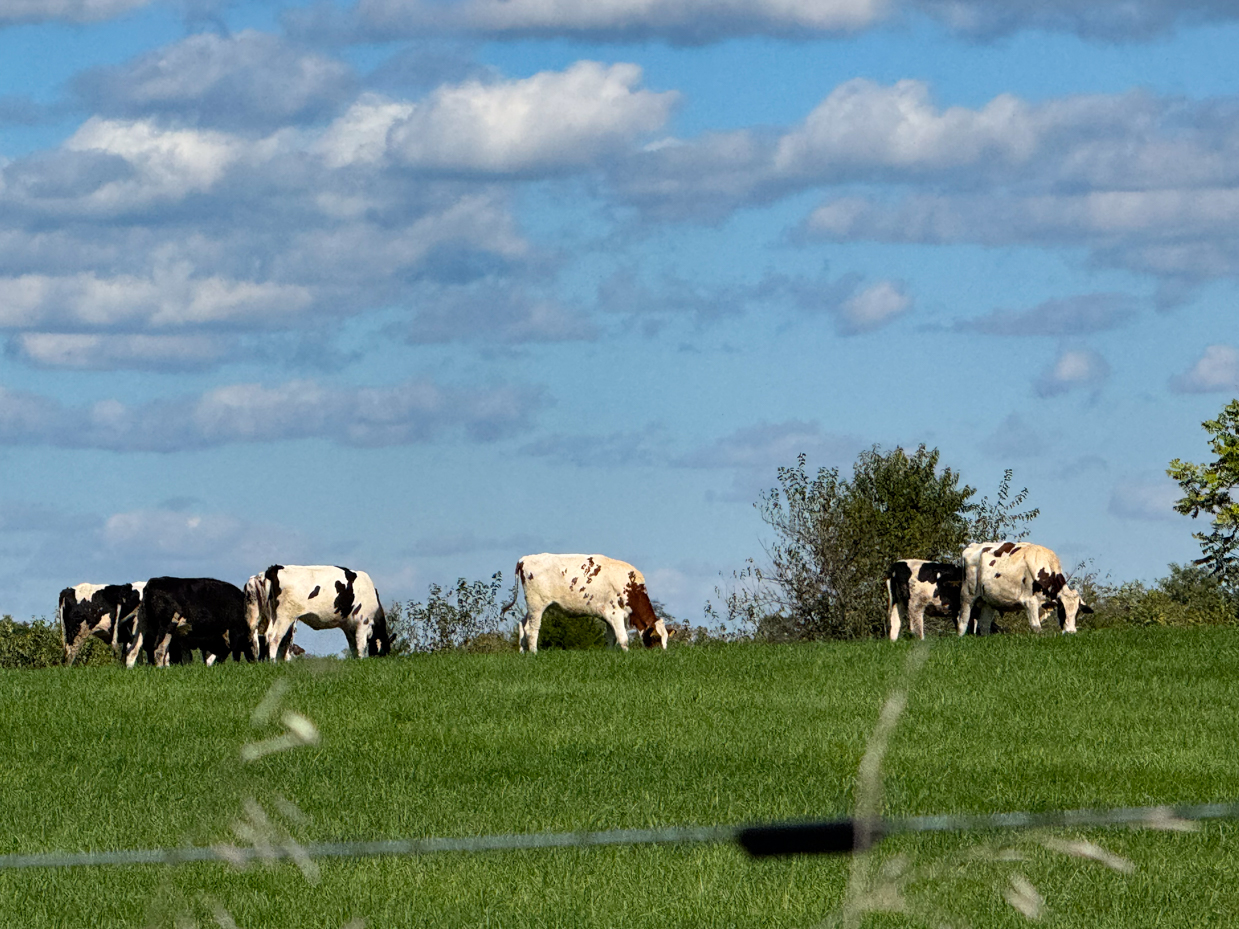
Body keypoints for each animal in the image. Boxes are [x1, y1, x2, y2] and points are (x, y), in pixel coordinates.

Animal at [125, 574, 256, 668]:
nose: (253, 661)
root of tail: (152, 583)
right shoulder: (234, 632)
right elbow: (233, 652)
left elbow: (189, 657)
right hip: (166, 626)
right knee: (158, 649)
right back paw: (160, 669)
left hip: (142, 625)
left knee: (133, 650)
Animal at [244, 567, 389, 663]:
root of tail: (272, 569)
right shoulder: (363, 623)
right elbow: (361, 647)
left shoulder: (349, 628)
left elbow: (354, 647)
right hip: (285, 616)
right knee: (273, 637)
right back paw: (273, 662)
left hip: (261, 615)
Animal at [495, 552, 669, 654]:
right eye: (655, 638)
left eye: (666, 638)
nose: (663, 654)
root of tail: (524, 559)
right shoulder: (615, 613)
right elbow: (623, 638)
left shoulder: (609, 616)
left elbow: (611, 638)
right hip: (537, 603)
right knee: (532, 629)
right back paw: (534, 652)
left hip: (533, 607)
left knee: (522, 624)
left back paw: (522, 652)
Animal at [956, 542, 1095, 639]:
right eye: (1062, 610)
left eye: (1077, 612)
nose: (1071, 632)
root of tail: (973, 545)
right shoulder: (1030, 601)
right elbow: (1036, 627)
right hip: (967, 594)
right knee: (963, 620)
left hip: (988, 601)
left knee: (984, 625)